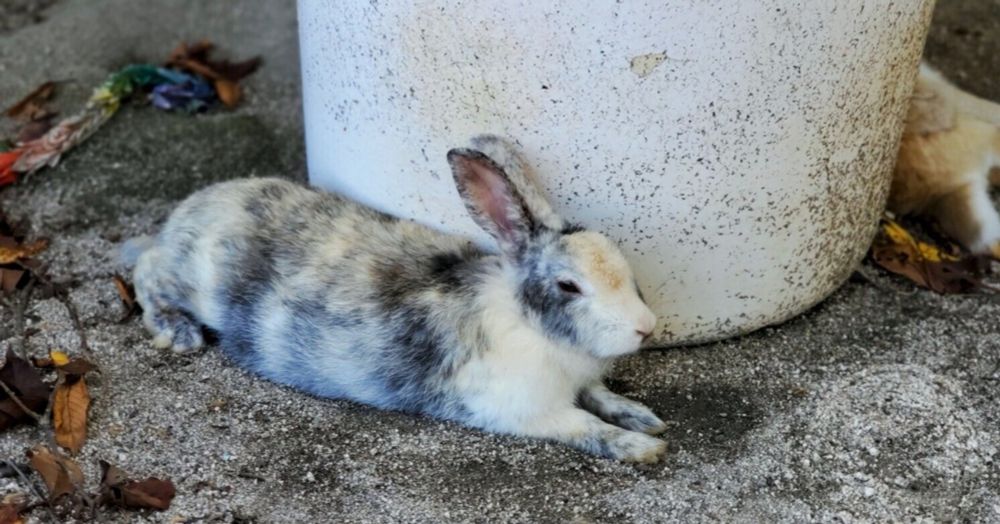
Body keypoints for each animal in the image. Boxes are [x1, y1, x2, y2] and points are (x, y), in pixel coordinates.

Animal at [129, 135, 668, 462]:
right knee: (145, 270)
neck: (530, 322)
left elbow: (601, 396)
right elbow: (583, 423)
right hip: (187, 278)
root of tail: (192, 207)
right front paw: (641, 447)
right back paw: (178, 331)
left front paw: (646, 419)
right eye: (569, 286)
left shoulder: (582, 383)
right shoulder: (526, 410)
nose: (646, 328)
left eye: (624, 265)